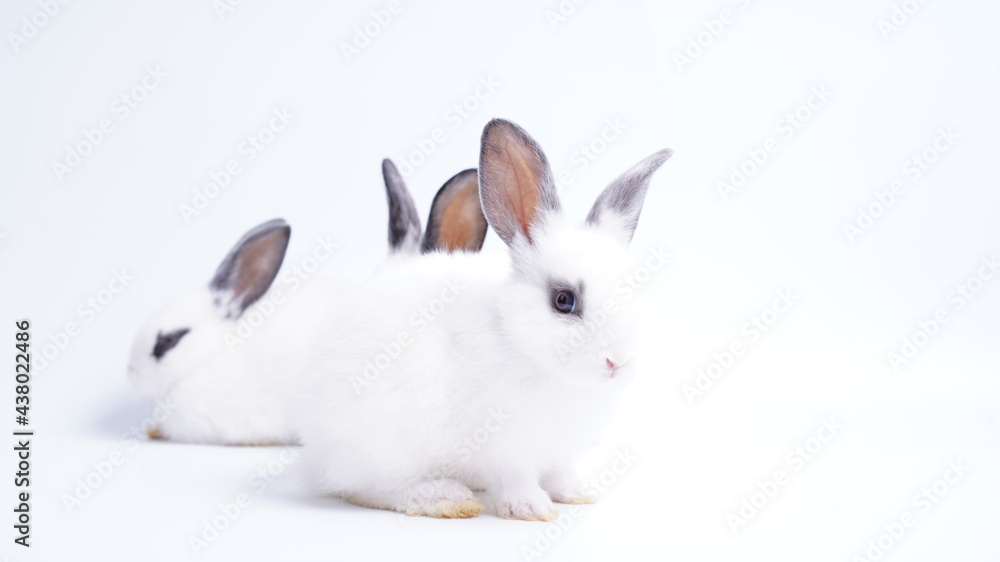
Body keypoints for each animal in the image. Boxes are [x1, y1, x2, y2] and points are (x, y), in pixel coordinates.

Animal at [297, 118, 672, 520]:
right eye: (563, 300)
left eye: (630, 290)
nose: (618, 362)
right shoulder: (505, 446)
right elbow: (515, 479)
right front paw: (533, 509)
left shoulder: (558, 450)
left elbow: (559, 473)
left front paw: (577, 494)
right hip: (382, 447)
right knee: (370, 489)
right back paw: (447, 498)